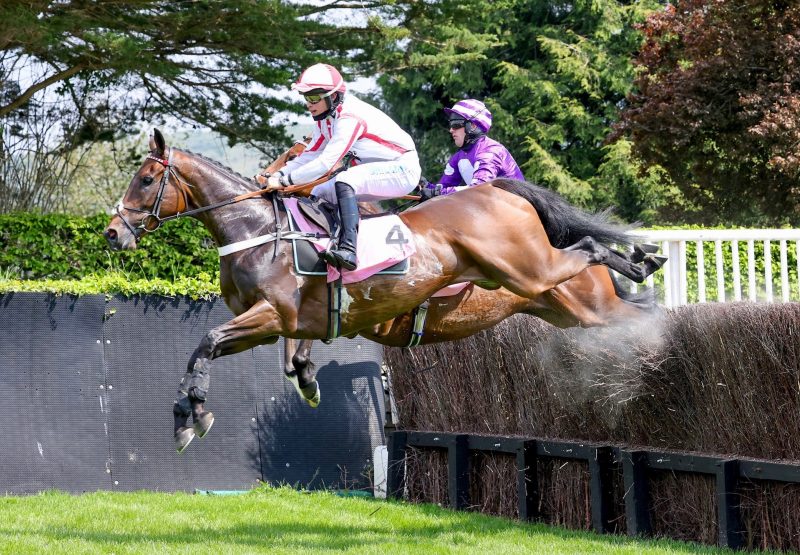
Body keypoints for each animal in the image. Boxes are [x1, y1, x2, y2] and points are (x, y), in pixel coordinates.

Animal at [103, 129, 660, 452]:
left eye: (147, 179)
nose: (112, 233)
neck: (258, 229)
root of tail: (502, 193)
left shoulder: (269, 315)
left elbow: (205, 345)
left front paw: (191, 415)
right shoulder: (288, 322)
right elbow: (286, 360)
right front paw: (303, 380)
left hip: (547, 280)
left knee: (594, 253)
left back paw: (648, 295)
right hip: (559, 303)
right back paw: (642, 270)